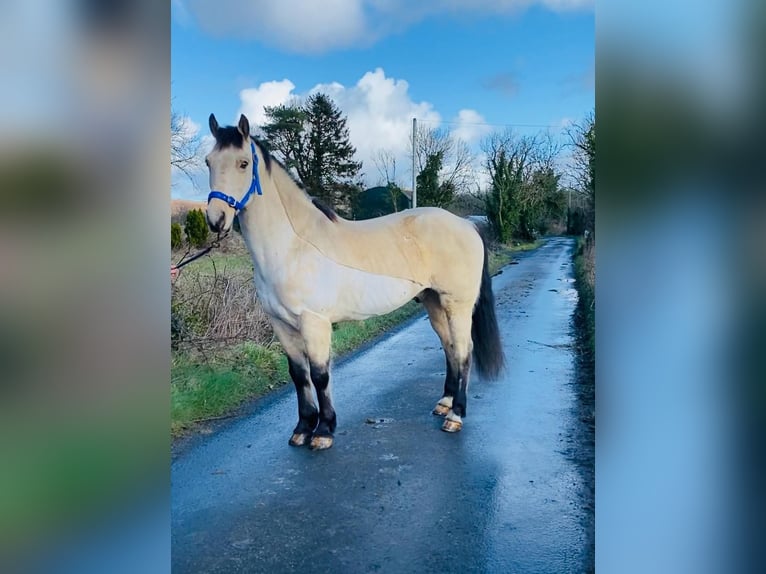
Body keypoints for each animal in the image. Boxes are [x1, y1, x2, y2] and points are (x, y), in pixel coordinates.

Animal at [204, 115, 508, 452]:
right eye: (209, 162)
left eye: (243, 163)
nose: (216, 220)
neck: (293, 247)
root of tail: (467, 224)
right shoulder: (281, 325)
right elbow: (299, 375)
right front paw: (302, 428)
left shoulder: (314, 323)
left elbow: (320, 375)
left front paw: (323, 431)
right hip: (434, 303)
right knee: (450, 348)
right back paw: (444, 403)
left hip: (458, 305)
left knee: (464, 351)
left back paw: (455, 416)